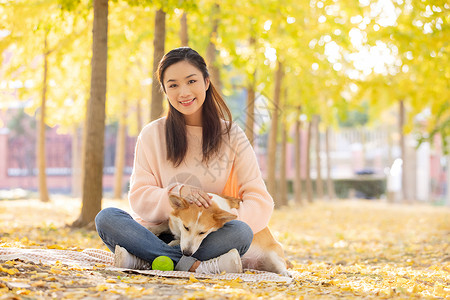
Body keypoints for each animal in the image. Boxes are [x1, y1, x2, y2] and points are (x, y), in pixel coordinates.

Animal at [149, 193, 294, 276]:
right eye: (186, 227)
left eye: (203, 232)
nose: (187, 253)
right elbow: (164, 225)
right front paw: (152, 228)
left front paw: (173, 242)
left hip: (274, 254)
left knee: (281, 266)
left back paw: (287, 273)